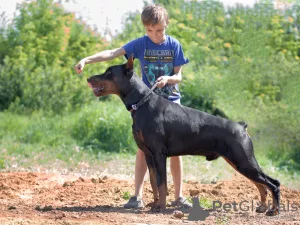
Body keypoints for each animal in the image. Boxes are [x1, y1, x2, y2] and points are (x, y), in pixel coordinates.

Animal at [86, 56, 278, 216]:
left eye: (109, 73)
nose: (88, 78)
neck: (141, 103)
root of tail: (241, 126)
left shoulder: (159, 154)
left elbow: (162, 183)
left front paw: (161, 208)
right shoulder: (149, 155)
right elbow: (153, 182)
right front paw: (155, 204)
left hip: (243, 160)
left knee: (272, 183)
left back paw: (273, 210)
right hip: (238, 162)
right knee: (261, 185)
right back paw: (262, 207)